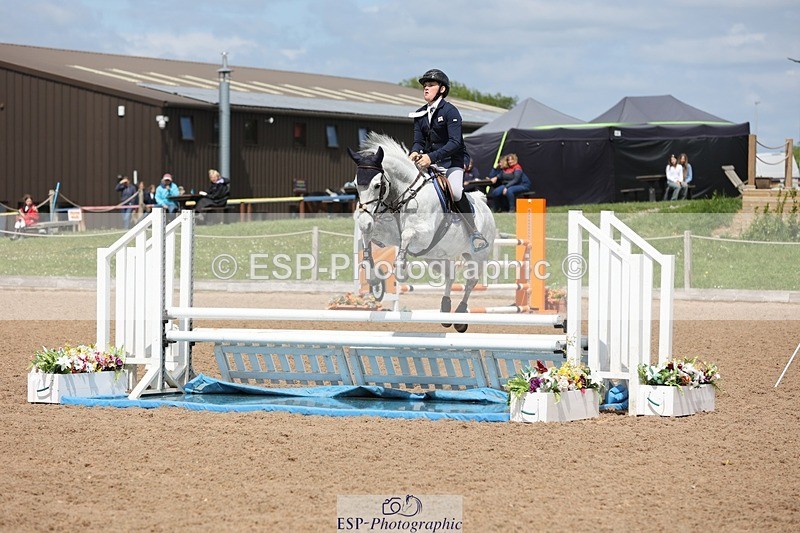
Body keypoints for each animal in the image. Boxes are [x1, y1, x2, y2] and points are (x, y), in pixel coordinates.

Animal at [348, 132, 497, 332]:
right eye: (357, 185)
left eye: (377, 185)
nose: (364, 219)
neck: (404, 195)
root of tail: (482, 202)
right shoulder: (388, 235)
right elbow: (369, 236)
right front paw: (372, 276)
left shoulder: (424, 234)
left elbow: (407, 234)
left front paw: (401, 270)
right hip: (436, 256)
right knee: (450, 275)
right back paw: (446, 310)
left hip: (477, 256)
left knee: (470, 282)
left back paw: (460, 317)